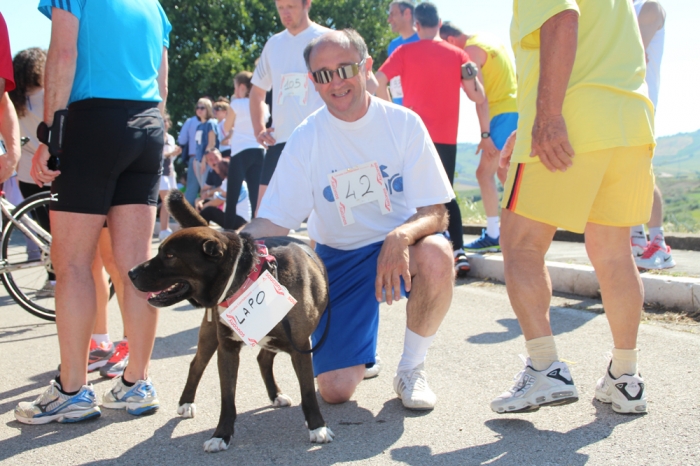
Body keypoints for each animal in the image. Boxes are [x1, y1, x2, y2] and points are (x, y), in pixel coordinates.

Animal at [130, 189, 334, 452]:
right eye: (161, 252)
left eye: (171, 255)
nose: (131, 273)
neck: (248, 276)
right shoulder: (226, 348)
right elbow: (227, 398)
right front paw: (221, 434)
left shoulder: (300, 346)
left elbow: (308, 392)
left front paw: (317, 427)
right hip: (210, 335)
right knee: (196, 365)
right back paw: (186, 402)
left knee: (263, 358)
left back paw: (275, 395)